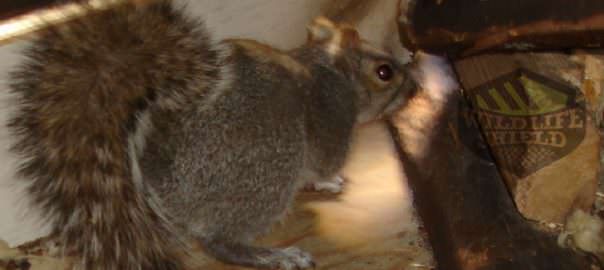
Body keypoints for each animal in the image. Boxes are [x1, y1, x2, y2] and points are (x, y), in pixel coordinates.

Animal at [7, 1, 418, 268]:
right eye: (384, 73)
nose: (415, 89)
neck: (329, 72)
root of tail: (163, 187)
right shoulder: (332, 121)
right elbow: (324, 164)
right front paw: (330, 179)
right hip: (271, 163)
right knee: (219, 242)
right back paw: (272, 255)